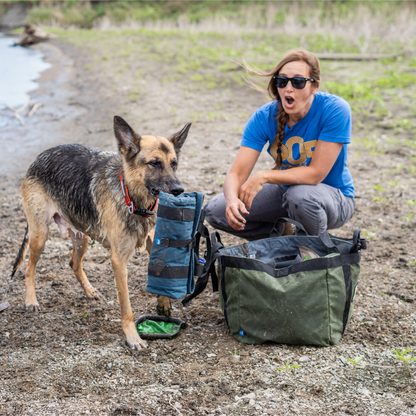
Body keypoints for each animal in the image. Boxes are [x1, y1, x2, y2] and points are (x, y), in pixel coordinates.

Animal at [11, 115, 190, 350]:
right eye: (154, 163)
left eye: (174, 164)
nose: (179, 190)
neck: (133, 198)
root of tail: (39, 157)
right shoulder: (118, 260)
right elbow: (126, 307)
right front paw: (133, 337)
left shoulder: (153, 242)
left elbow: (161, 270)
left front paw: (163, 303)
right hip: (40, 235)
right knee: (29, 267)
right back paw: (31, 300)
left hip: (82, 236)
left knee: (73, 263)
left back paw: (90, 291)